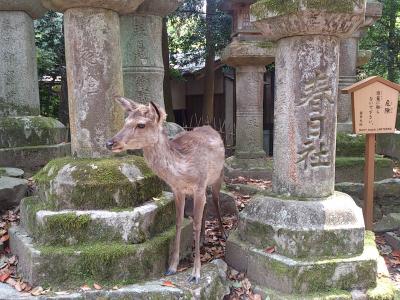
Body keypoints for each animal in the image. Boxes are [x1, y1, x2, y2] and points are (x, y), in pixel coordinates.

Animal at [105, 96, 225, 284]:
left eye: (141, 125)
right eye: (125, 121)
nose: (109, 143)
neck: (182, 169)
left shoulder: (199, 185)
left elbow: (195, 224)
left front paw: (195, 274)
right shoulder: (178, 190)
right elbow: (178, 222)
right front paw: (172, 267)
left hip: (218, 176)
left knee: (216, 201)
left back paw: (223, 234)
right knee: (207, 206)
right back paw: (203, 240)